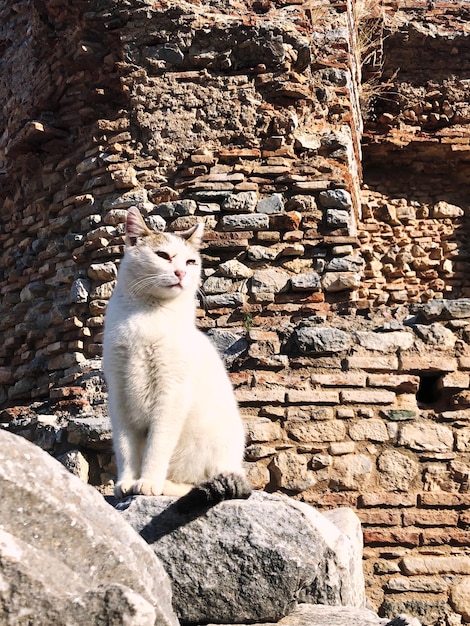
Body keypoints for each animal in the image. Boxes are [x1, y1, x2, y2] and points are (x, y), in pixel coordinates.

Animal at [101, 206, 252, 508]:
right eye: (163, 255)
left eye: (191, 261)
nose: (181, 272)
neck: (148, 315)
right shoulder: (119, 393)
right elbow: (125, 448)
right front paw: (126, 482)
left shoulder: (170, 394)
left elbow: (156, 446)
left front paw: (147, 483)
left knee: (198, 483)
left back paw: (166, 485)